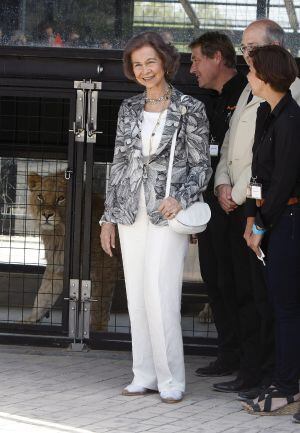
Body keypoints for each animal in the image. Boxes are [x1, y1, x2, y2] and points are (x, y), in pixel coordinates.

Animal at [24, 170, 120, 330]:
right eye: (40, 197)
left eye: (61, 198)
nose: (47, 215)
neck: (60, 233)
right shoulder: (58, 265)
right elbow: (42, 296)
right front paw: (28, 321)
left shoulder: (105, 267)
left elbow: (99, 310)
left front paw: (96, 332)